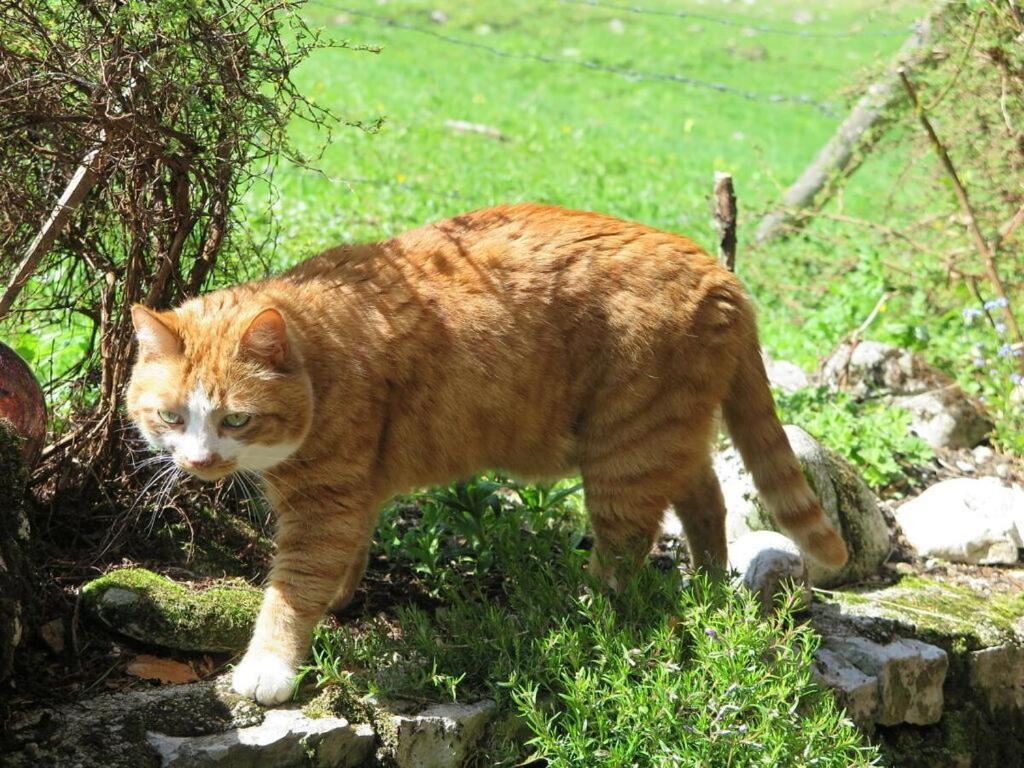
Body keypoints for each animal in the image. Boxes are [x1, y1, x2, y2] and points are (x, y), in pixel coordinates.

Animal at [125, 202, 847, 704]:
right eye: (171, 417)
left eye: (236, 419)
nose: (198, 463)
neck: (323, 356)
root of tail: (717, 270)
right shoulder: (352, 495)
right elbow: (345, 560)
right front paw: (338, 599)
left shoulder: (325, 504)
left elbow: (291, 590)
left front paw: (268, 666)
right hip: (662, 434)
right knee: (705, 496)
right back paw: (708, 584)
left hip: (626, 448)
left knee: (631, 541)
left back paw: (589, 603)